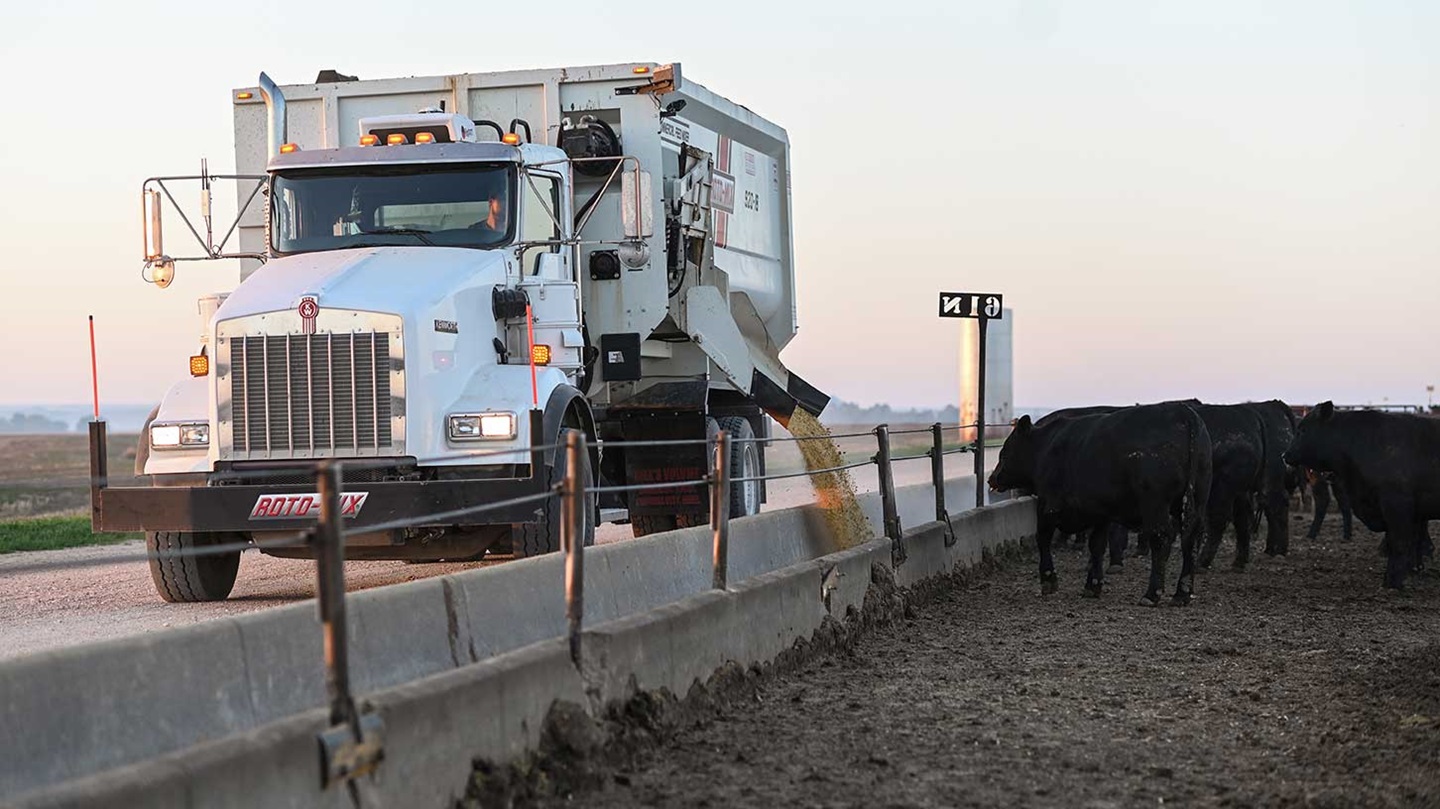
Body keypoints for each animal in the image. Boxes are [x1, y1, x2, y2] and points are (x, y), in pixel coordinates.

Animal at [984, 403, 1209, 604]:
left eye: (1005, 451)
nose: (992, 478)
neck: (1046, 447)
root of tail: (1183, 412)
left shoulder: (1048, 505)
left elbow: (1044, 538)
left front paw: (1048, 580)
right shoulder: (1100, 513)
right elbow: (1097, 545)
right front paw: (1093, 585)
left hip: (1155, 504)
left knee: (1161, 538)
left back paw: (1152, 594)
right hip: (1195, 503)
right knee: (1190, 540)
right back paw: (1182, 594)